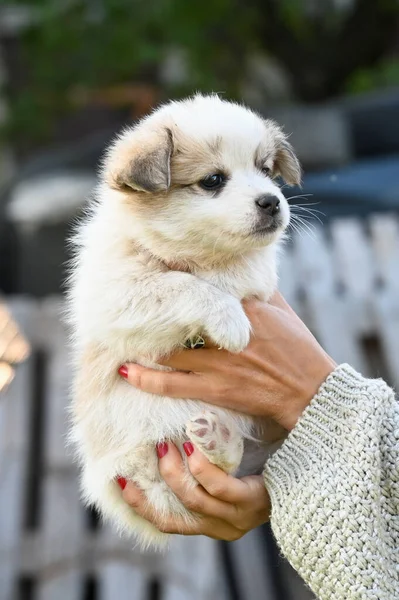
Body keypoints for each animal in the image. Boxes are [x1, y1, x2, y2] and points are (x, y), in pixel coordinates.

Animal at [67, 94, 302, 548]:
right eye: (213, 180)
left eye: (266, 170)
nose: (272, 201)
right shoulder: (118, 292)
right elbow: (180, 283)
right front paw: (229, 320)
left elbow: (232, 274)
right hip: (145, 462)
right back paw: (217, 438)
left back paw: (219, 439)